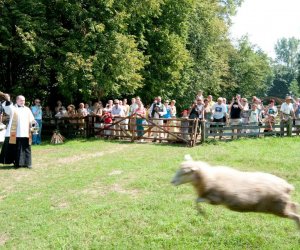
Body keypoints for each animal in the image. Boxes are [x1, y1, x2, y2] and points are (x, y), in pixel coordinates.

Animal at [171, 155, 300, 229]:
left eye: (185, 172)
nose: (172, 181)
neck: (209, 176)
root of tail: (288, 186)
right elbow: (196, 200)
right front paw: (201, 212)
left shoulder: (215, 199)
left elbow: (197, 200)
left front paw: (202, 213)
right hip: (281, 205)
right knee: (295, 205)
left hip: (278, 208)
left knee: (295, 216)